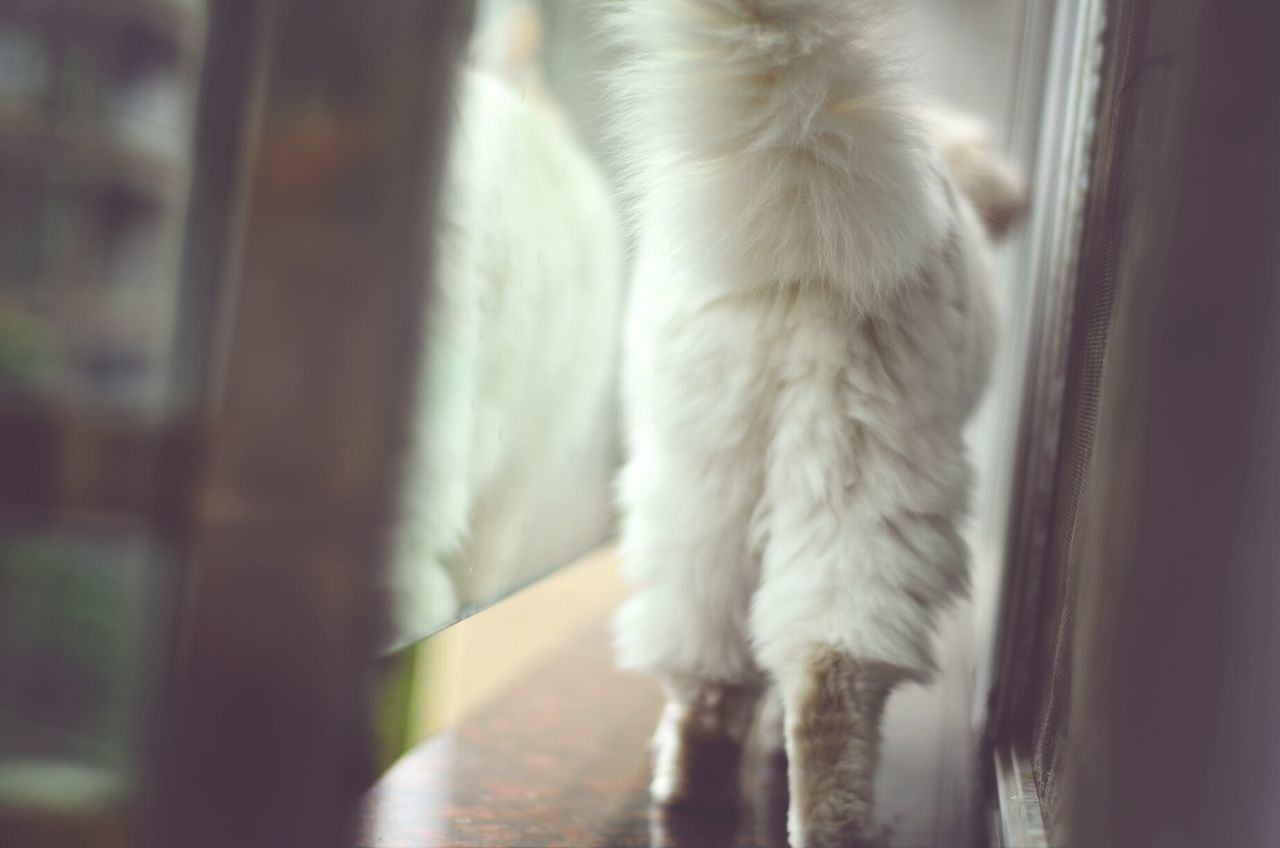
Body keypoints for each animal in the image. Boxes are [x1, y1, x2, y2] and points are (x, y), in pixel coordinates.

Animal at [606, 3, 1018, 845]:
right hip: (867, 476)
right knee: (831, 670)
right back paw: (835, 823)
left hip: (704, 481)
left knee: (715, 667)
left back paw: (688, 789)